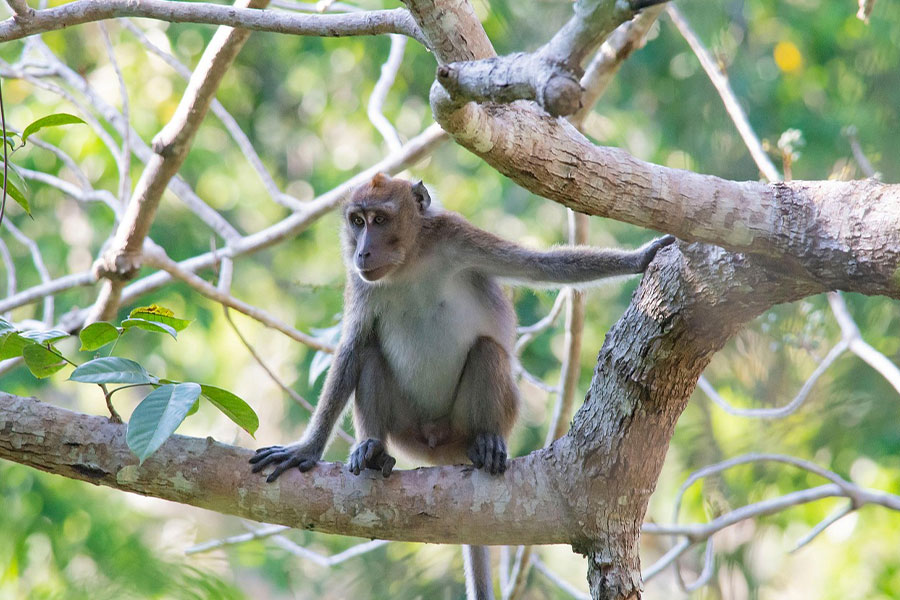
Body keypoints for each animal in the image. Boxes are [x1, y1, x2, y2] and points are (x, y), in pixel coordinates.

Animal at [250, 173, 675, 599]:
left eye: (380, 220)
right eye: (357, 221)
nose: (362, 252)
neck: (411, 260)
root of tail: (443, 447)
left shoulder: (456, 236)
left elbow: (537, 266)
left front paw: (640, 258)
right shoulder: (362, 284)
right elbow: (353, 349)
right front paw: (307, 449)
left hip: (470, 421)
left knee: (487, 350)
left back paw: (486, 442)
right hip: (409, 433)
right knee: (370, 355)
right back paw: (372, 449)